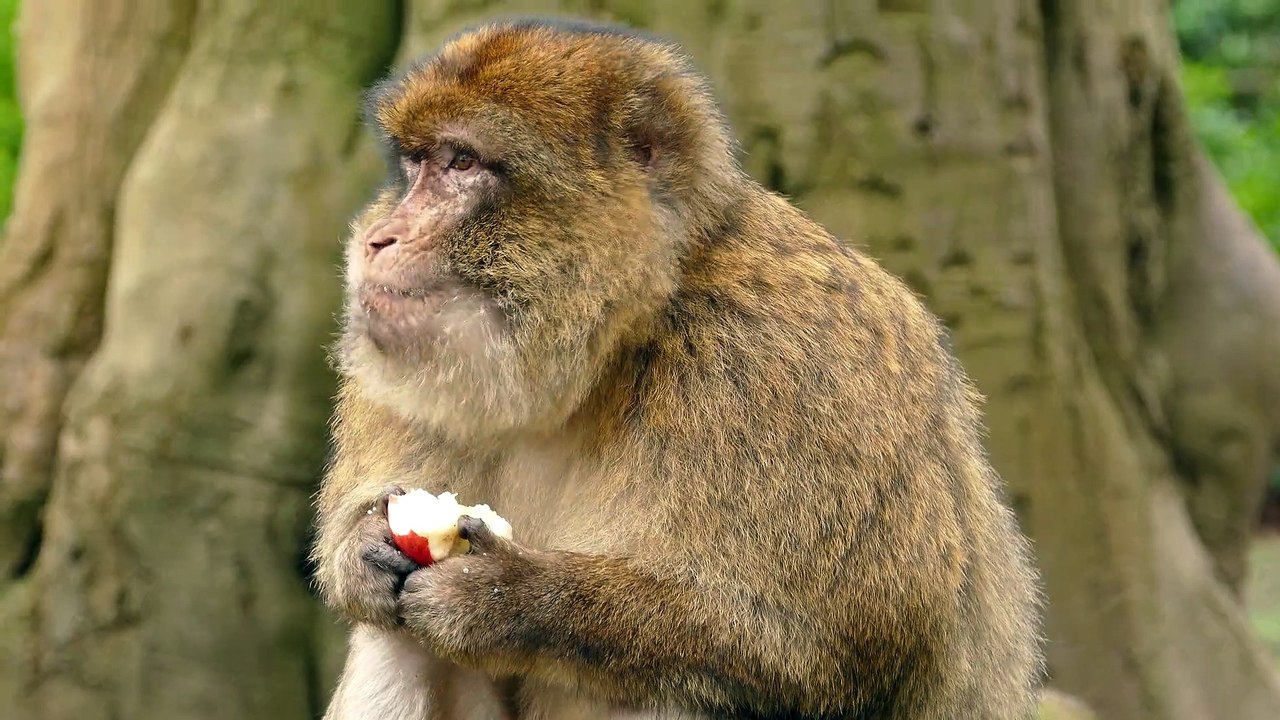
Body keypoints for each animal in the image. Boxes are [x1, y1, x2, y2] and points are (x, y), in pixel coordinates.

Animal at [312, 17, 1043, 720]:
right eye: (414, 165)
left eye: (462, 161)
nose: (378, 239)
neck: (619, 344)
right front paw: (362, 550)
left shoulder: (782, 368)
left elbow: (841, 648)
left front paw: (504, 596)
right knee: (396, 638)